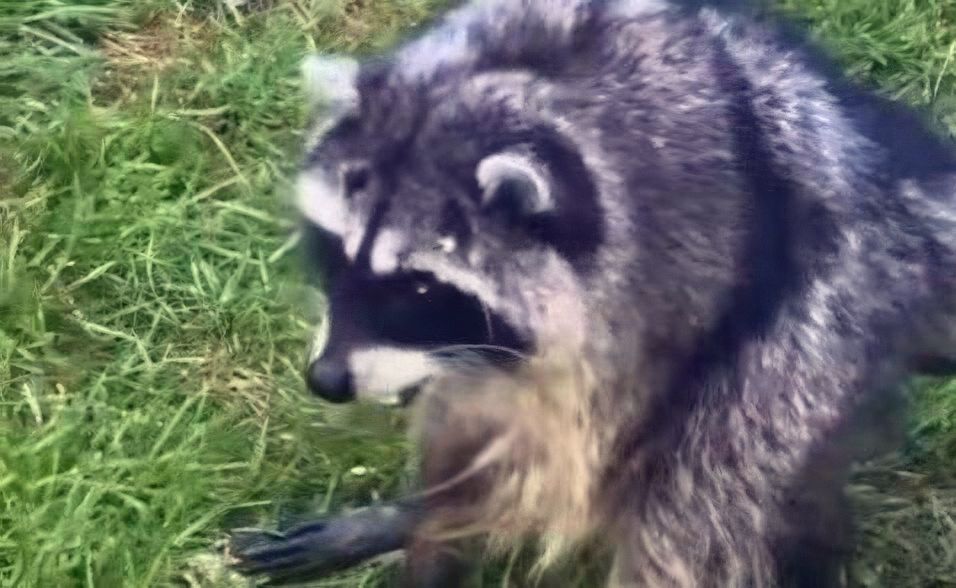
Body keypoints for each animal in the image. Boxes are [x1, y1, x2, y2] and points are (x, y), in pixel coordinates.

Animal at [229, 0, 956, 586]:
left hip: (798, 342)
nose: (326, 380)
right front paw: (416, 526)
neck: (519, 79)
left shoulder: (663, 297)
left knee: (700, 512)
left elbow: (587, 480)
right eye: (334, 252)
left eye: (419, 285)